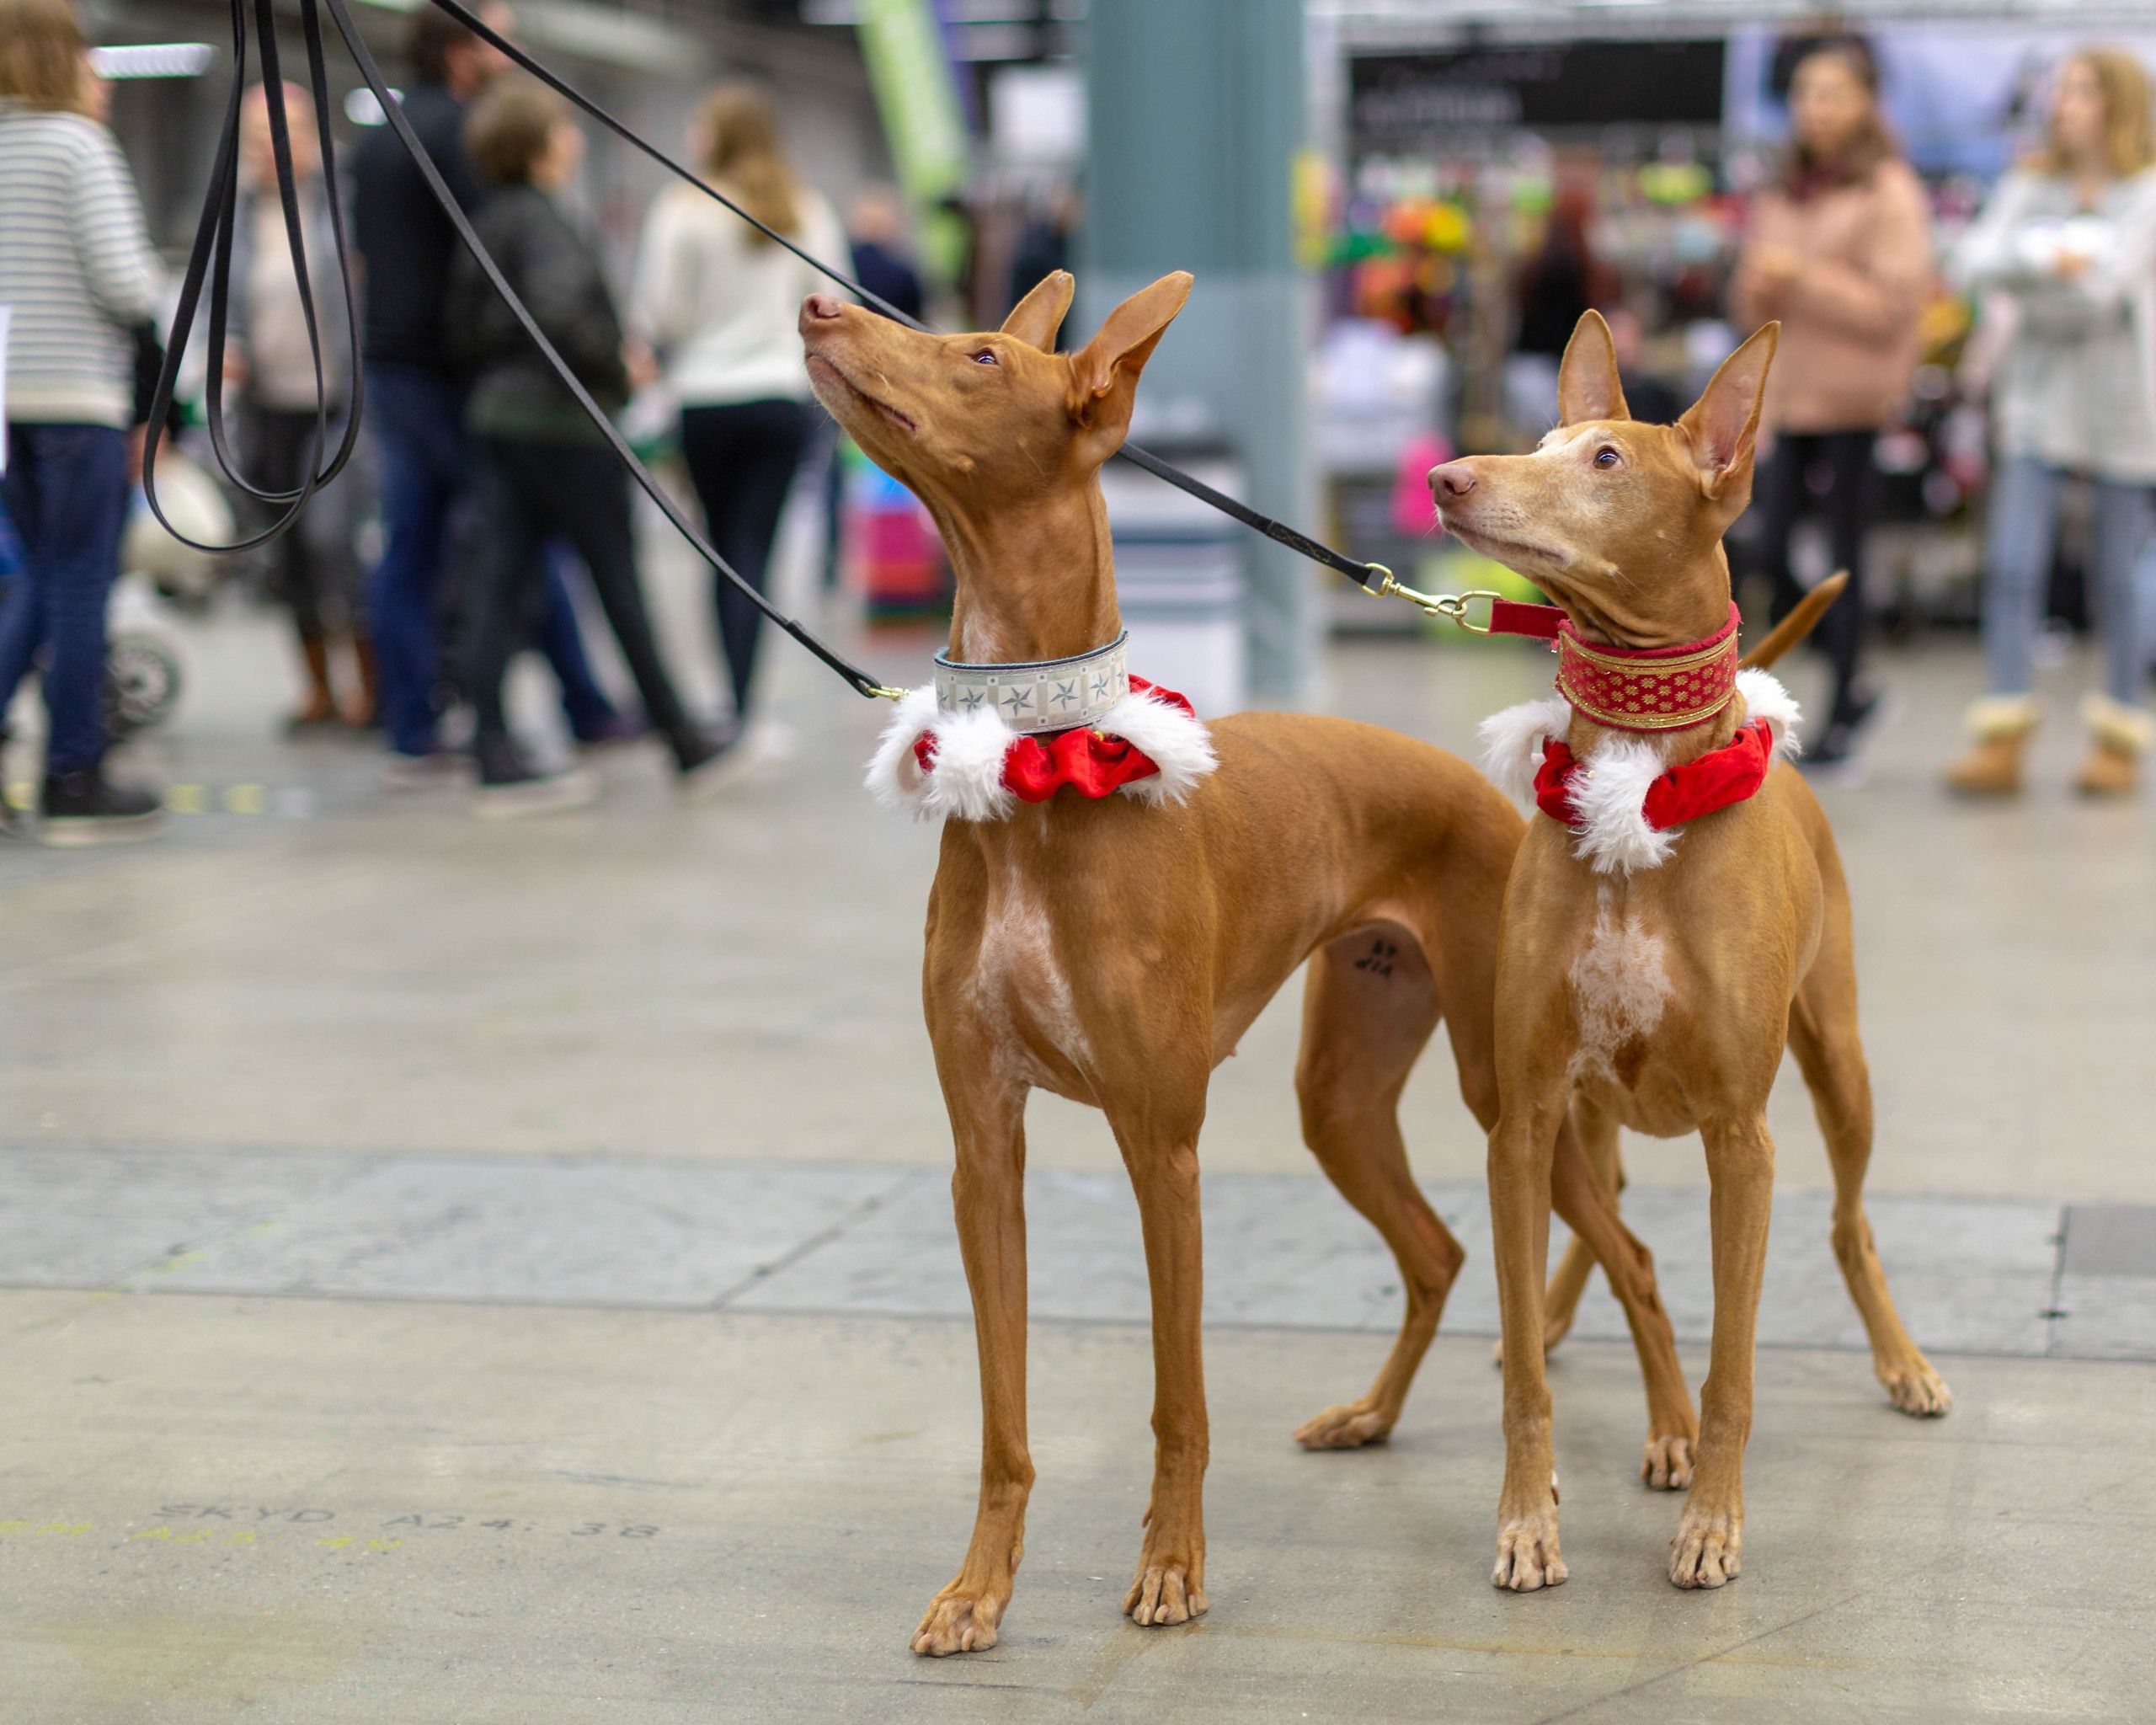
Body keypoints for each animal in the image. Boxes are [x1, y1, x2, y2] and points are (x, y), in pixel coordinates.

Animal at [802, 280, 1690, 1656]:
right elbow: (1004, 1417)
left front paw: (1172, 1568)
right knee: (1436, 1253)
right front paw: (977, 1589)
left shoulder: (1162, 1143)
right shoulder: (982, 1149)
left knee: (1630, 1257)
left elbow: (1180, 1398)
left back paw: (1671, 1446)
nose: (814, 304)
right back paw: (1371, 1416)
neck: (1042, 765)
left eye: (980, 353)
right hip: (1341, 1094)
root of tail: (1486, 796)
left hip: (1506, 1095)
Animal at [1431, 310, 1957, 1587]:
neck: (1639, 774)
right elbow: (1534, 1363)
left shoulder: (1740, 1138)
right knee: (1618, 1239)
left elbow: (1735, 1367)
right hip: (1582, 1114)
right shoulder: (1522, 1119)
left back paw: (1901, 1365)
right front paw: (1526, 1519)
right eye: (1541, 440)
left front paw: (1713, 1522)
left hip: (1838, 1066)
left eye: (1605, 460)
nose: (1445, 477)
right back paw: (1594, 1345)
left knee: (1848, 1224)